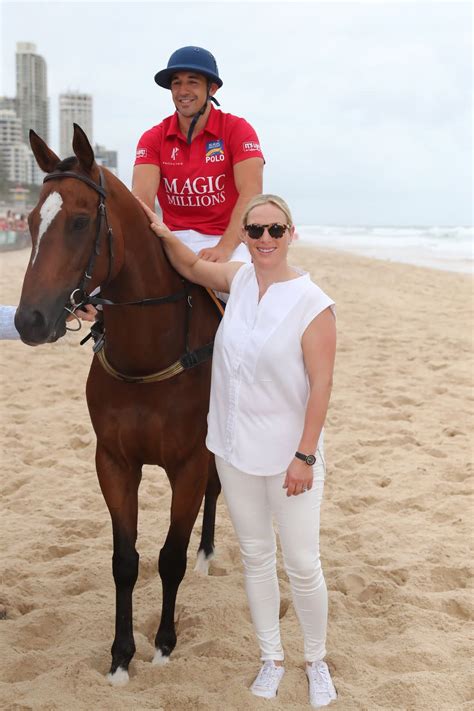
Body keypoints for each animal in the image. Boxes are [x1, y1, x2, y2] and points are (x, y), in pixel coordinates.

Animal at [15, 125, 222, 688]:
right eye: (29, 220)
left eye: (81, 220)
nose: (27, 320)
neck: (150, 354)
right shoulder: (113, 462)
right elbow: (125, 561)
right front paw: (121, 655)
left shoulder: (189, 463)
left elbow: (169, 557)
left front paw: (165, 644)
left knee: (217, 491)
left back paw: (207, 552)